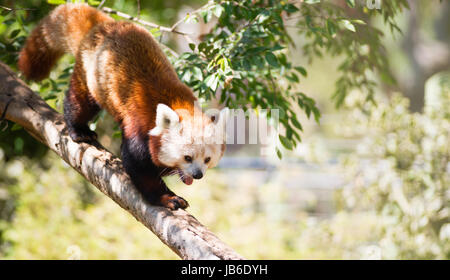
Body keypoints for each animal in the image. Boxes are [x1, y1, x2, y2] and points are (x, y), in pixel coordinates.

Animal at [18, 3, 227, 210]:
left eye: (207, 159)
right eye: (187, 157)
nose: (198, 174)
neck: (179, 103)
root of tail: (104, 25)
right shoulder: (140, 128)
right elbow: (139, 167)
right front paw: (167, 198)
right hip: (91, 76)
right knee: (80, 102)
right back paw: (79, 130)